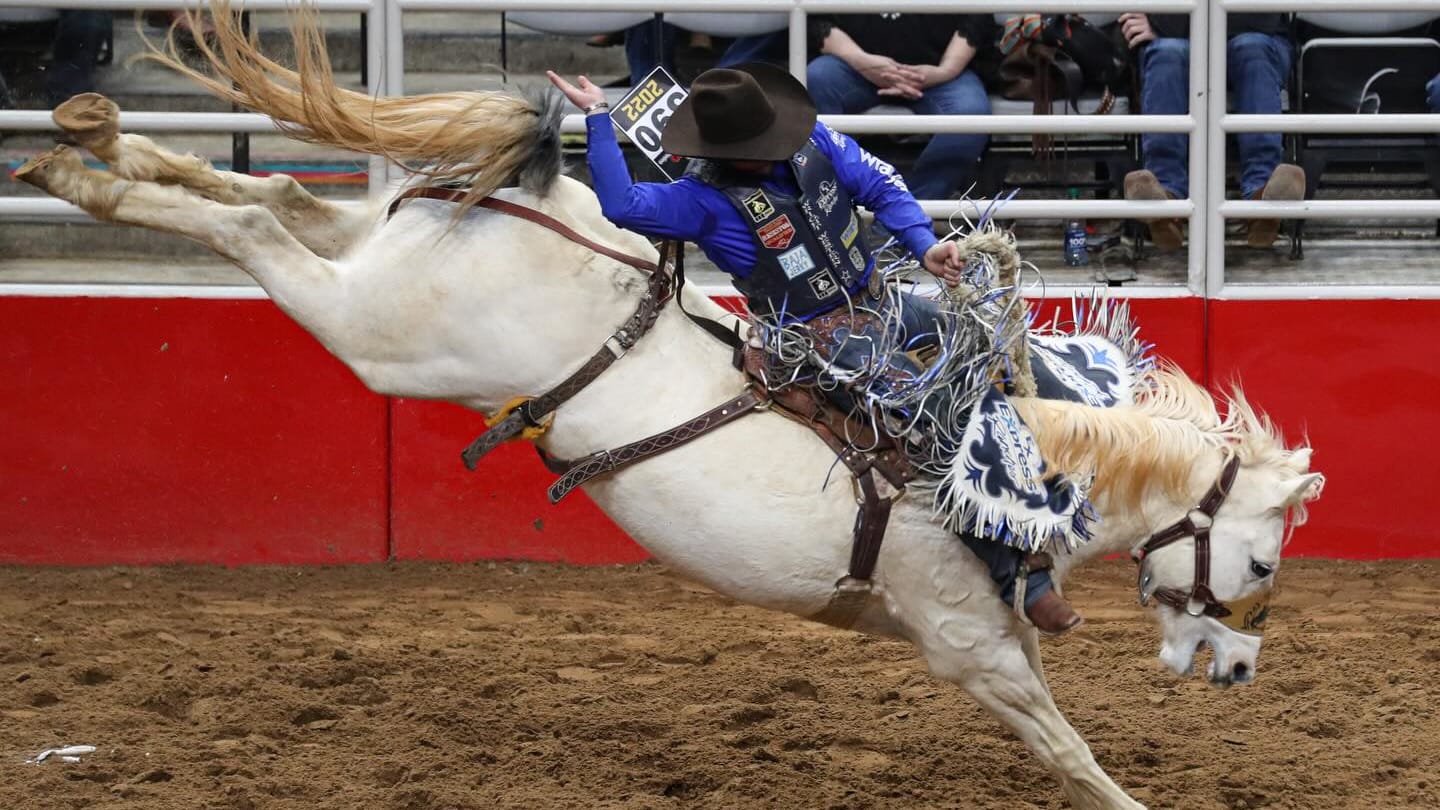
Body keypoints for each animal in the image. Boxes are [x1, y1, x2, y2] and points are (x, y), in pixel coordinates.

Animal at [13, 6, 1323, 808]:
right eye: (1262, 562)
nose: (1242, 671)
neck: (1001, 466)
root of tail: (537, 202)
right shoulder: (969, 644)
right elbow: (1068, 746)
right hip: (383, 335)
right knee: (255, 236)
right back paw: (87, 169)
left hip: (382, 258)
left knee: (276, 197)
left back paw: (92, 149)